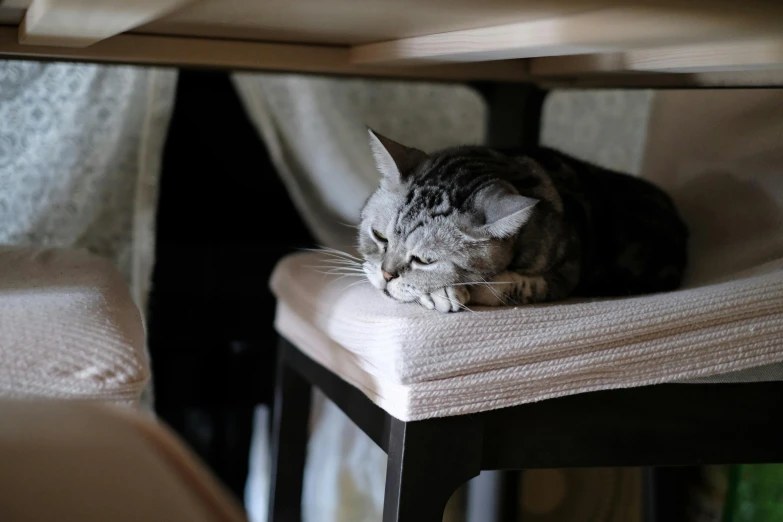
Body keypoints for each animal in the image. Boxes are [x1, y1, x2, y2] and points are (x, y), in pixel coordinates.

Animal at [356, 129, 688, 312]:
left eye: (425, 260)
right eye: (379, 237)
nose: (386, 275)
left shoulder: (564, 275)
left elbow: (500, 287)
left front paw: (446, 290)